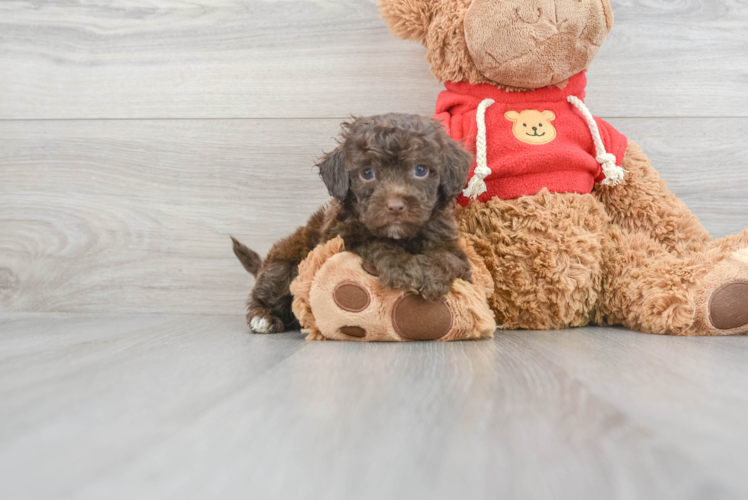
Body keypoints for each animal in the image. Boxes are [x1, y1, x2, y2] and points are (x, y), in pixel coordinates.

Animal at [234, 112, 474, 332]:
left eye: (421, 170)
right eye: (367, 173)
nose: (395, 206)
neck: (402, 237)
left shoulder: (452, 247)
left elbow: (449, 258)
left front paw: (432, 276)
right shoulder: (341, 238)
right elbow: (375, 243)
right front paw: (402, 267)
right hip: (284, 267)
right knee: (264, 293)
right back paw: (263, 318)